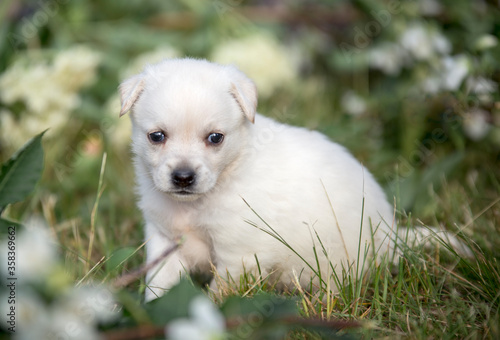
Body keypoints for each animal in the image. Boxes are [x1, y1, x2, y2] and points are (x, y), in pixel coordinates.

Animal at [119, 58, 400, 300]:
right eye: (156, 136)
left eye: (215, 138)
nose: (183, 177)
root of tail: (393, 235)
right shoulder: (164, 240)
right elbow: (159, 284)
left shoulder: (238, 254)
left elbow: (220, 293)